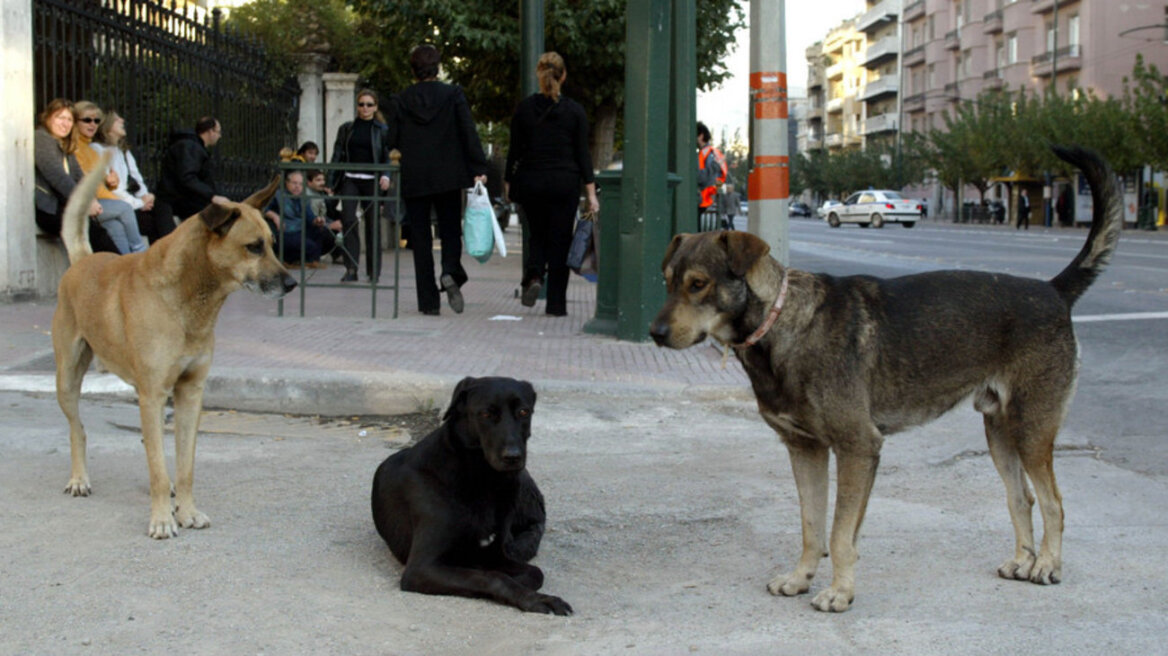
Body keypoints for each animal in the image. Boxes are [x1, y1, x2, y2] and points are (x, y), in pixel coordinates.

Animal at [53, 151, 296, 536]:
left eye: (272, 244)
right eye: (253, 247)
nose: (291, 284)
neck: (188, 297)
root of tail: (82, 261)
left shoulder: (190, 393)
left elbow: (184, 466)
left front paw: (186, 510)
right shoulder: (153, 394)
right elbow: (157, 465)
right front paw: (162, 520)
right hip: (67, 379)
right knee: (78, 429)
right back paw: (79, 479)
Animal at [369, 375, 569, 611]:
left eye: (523, 412)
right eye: (486, 414)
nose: (513, 457)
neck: (481, 478)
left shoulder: (495, 553)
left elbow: (534, 573)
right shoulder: (421, 568)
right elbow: (493, 577)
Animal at [649, 145, 1121, 611]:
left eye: (698, 284)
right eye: (667, 281)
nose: (654, 334)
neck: (781, 322)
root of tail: (1053, 290)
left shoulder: (858, 448)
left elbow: (840, 533)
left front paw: (840, 592)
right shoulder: (805, 450)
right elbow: (811, 526)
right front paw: (800, 578)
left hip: (1032, 431)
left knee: (1054, 503)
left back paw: (1048, 564)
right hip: (1000, 433)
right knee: (1021, 497)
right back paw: (1024, 560)